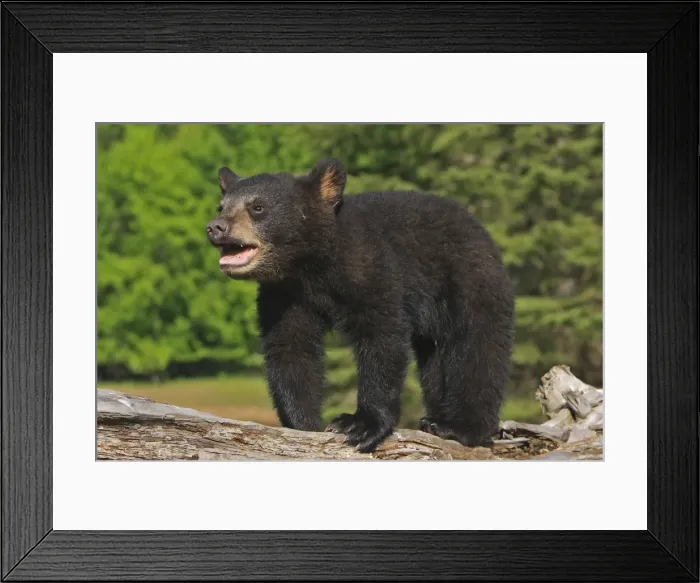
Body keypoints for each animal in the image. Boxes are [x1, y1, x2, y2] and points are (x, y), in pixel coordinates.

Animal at [206, 158, 515, 453]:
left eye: (257, 207)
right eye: (221, 206)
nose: (215, 227)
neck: (311, 266)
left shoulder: (370, 268)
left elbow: (381, 337)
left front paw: (360, 425)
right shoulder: (285, 295)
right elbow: (290, 348)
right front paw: (303, 425)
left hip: (469, 281)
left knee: (478, 348)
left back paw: (459, 426)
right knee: (435, 362)